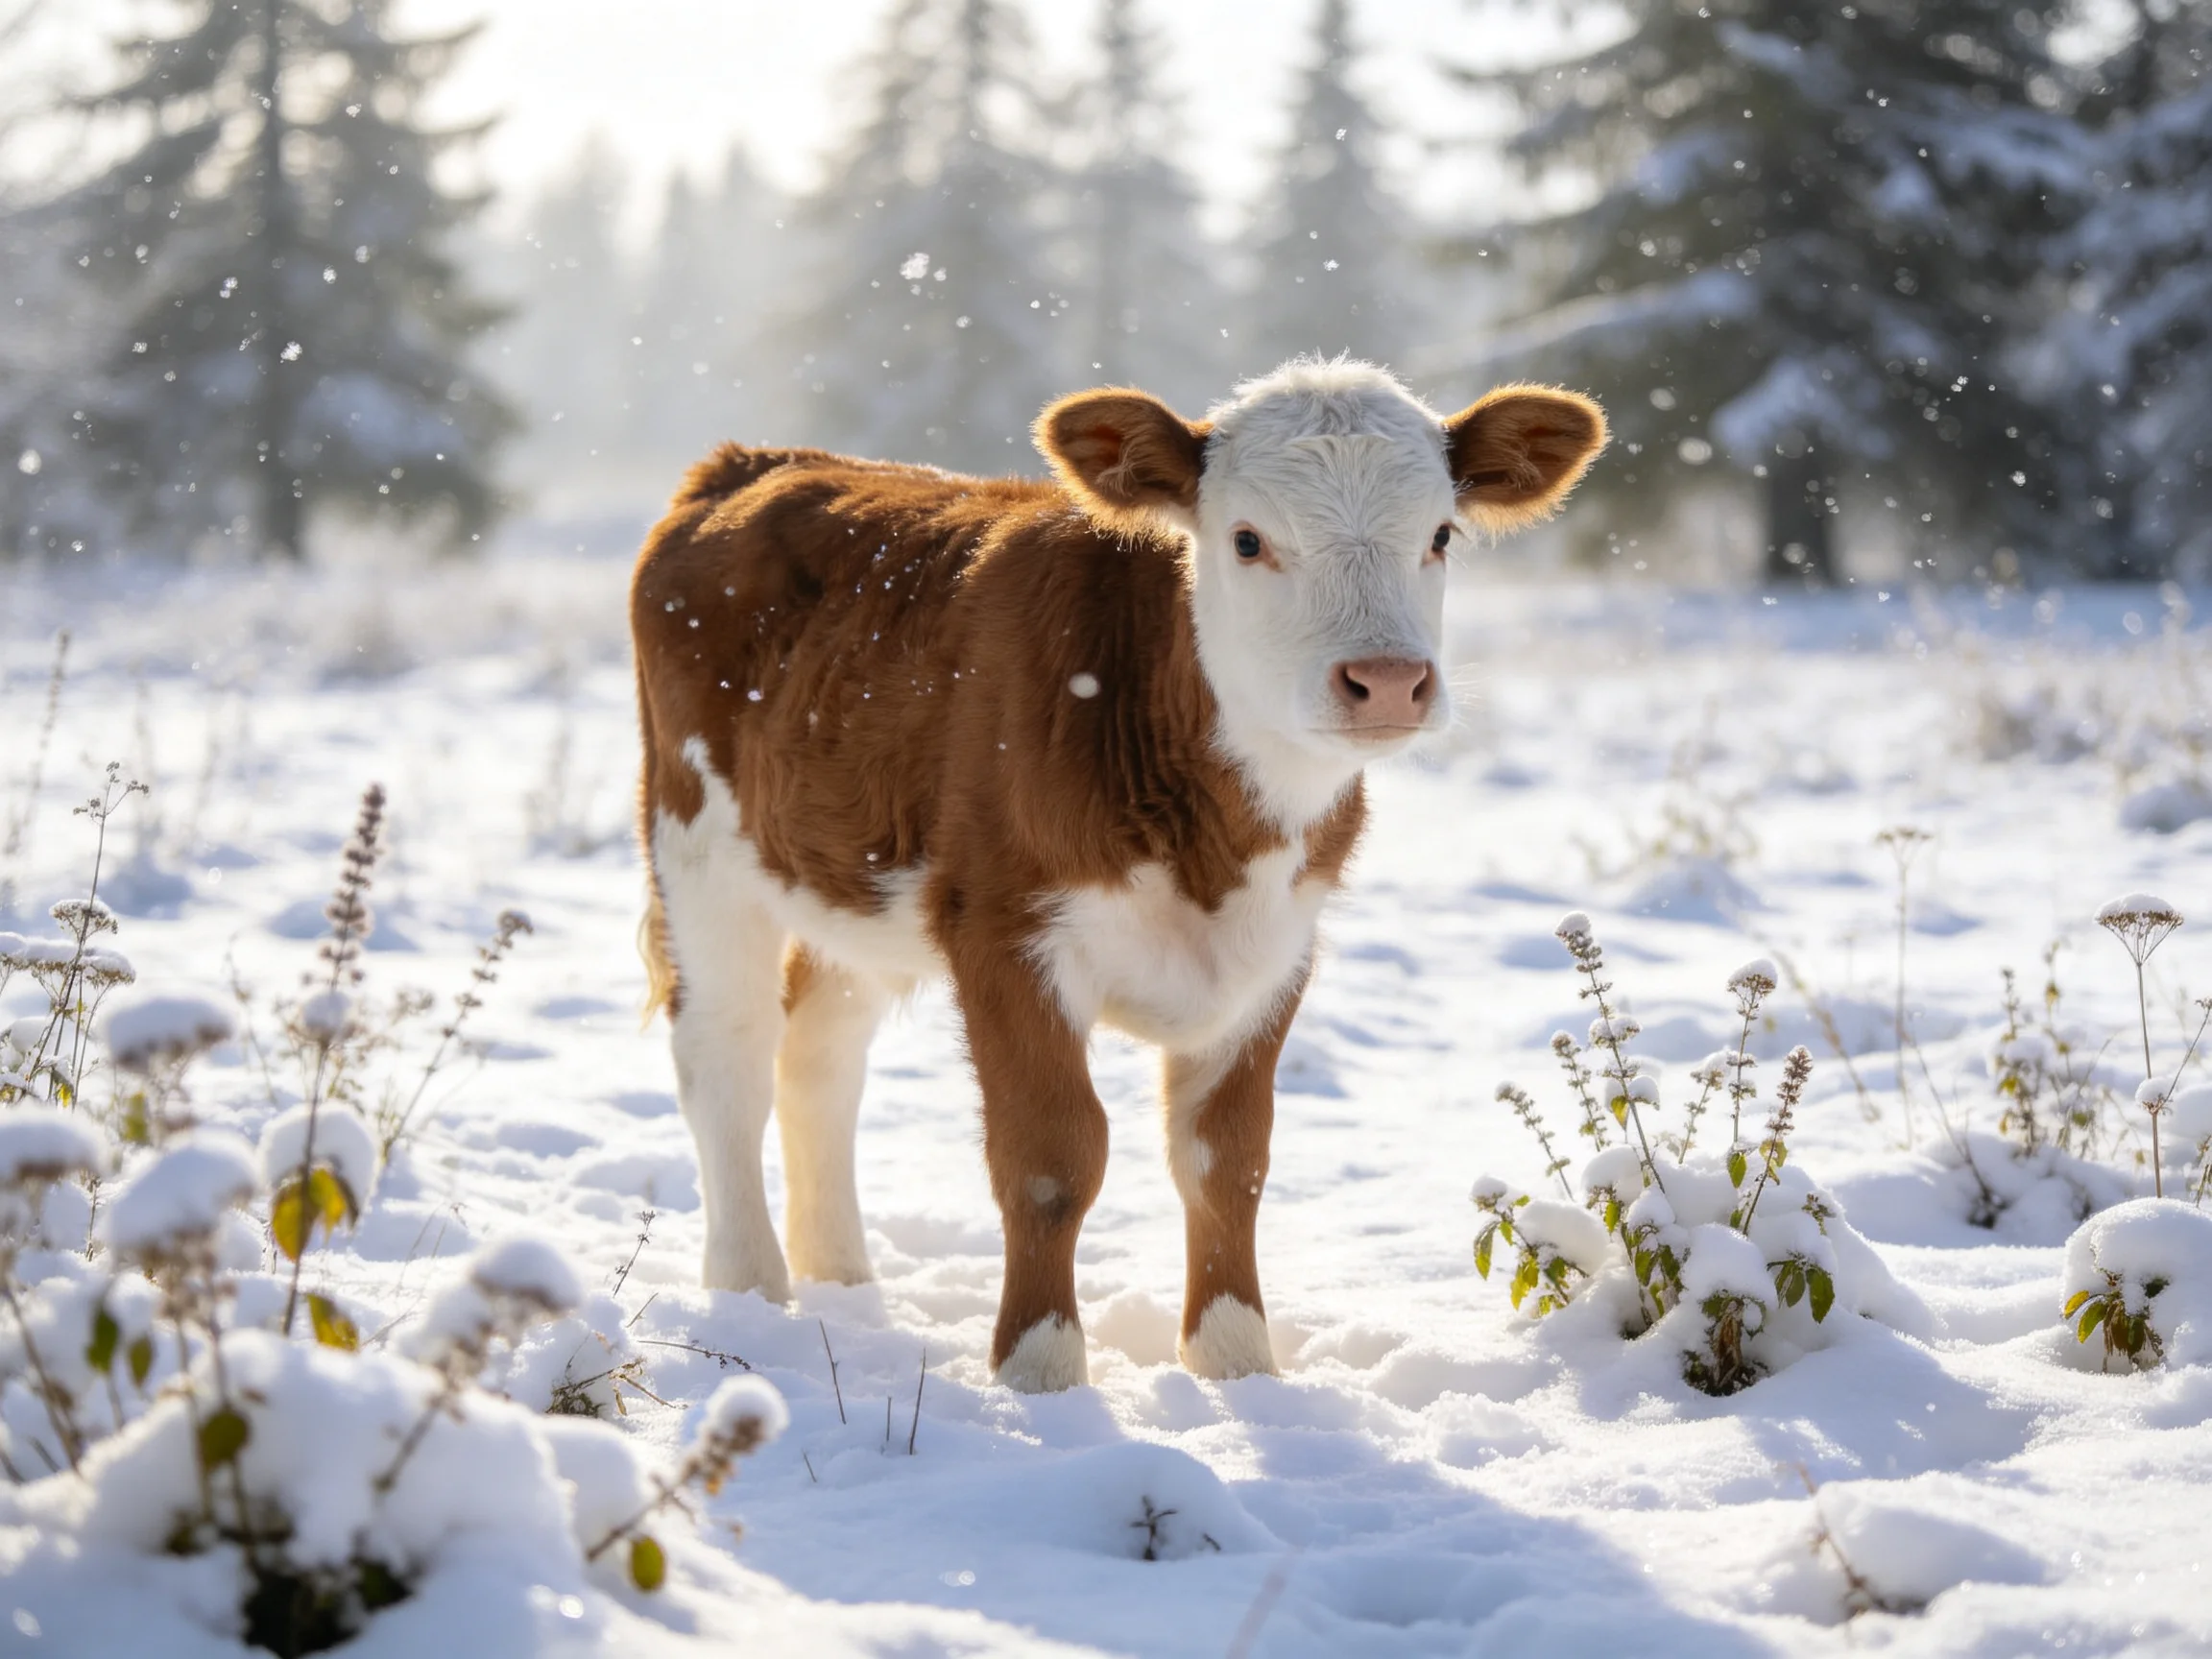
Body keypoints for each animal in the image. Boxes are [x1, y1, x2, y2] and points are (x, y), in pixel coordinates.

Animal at [630, 358, 1604, 1392]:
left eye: (1441, 534)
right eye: (1248, 539)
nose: (1385, 680)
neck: (1212, 837)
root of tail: (753, 462)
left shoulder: (1278, 947)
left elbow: (1228, 1159)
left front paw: (1235, 1364)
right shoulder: (1004, 928)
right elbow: (1051, 1155)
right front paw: (1042, 1370)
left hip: (844, 885)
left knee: (819, 1057)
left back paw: (841, 1281)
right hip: (697, 849)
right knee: (727, 1054)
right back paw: (751, 1287)